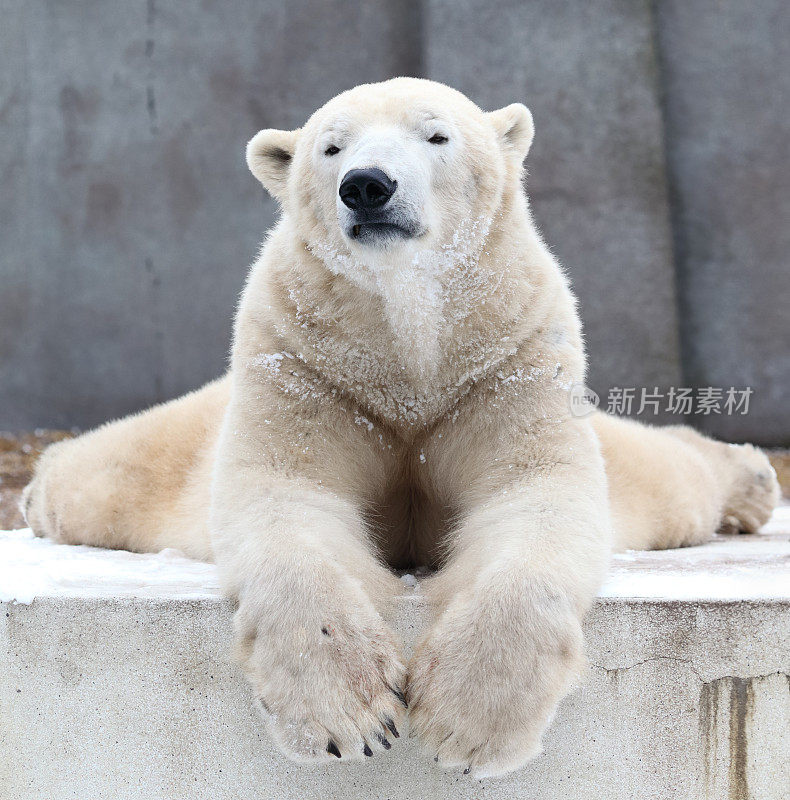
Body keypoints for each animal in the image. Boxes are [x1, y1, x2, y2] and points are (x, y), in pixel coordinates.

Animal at [23, 78, 780, 780]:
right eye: (331, 148)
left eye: (436, 135)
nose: (367, 185)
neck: (410, 348)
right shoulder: (303, 364)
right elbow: (287, 497)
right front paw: (350, 719)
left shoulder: (507, 362)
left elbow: (534, 496)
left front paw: (467, 729)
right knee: (107, 474)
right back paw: (33, 490)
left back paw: (752, 480)